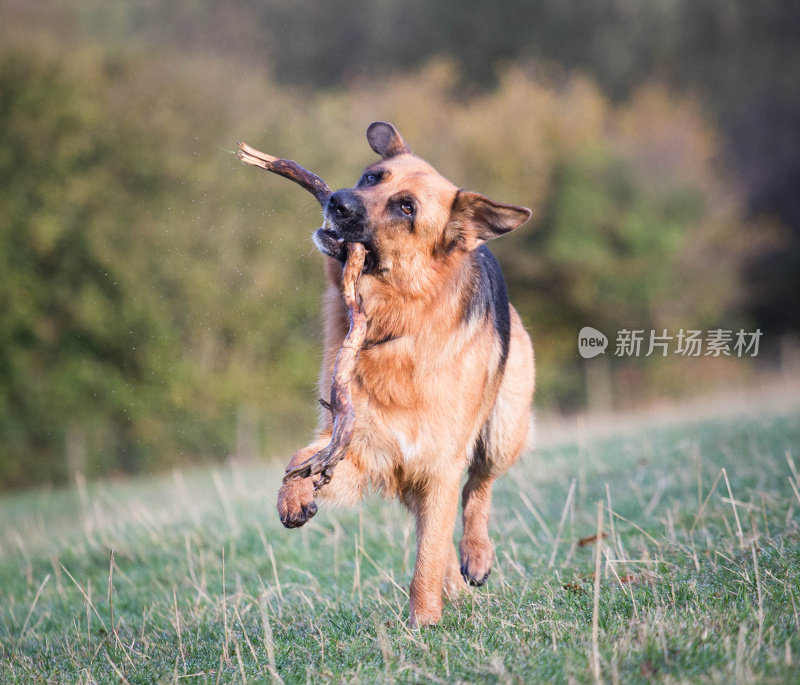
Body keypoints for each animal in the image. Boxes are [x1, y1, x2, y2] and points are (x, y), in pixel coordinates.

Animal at [278, 121, 536, 624]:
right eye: (371, 177)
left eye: (406, 208)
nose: (337, 200)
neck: (396, 324)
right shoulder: (363, 448)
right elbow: (303, 457)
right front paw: (294, 492)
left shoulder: (440, 463)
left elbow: (429, 555)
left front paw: (424, 622)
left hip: (502, 429)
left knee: (479, 487)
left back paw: (476, 555)